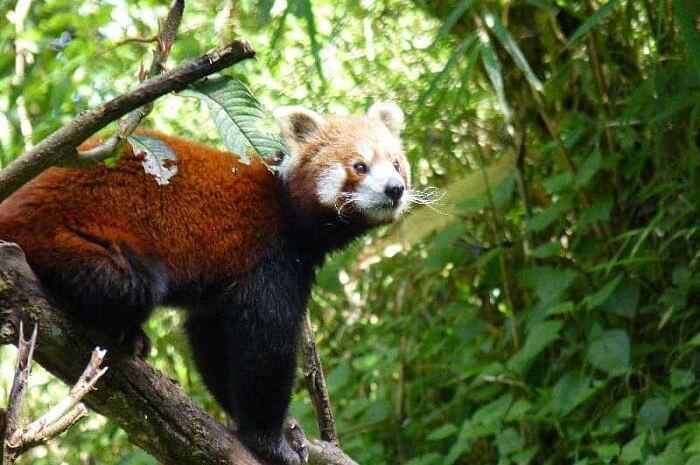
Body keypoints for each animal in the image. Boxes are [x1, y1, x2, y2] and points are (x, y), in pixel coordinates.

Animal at [0, 102, 410, 464]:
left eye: (396, 164)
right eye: (359, 166)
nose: (395, 189)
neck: (287, 207)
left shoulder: (223, 290)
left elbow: (211, 341)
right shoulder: (269, 258)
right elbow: (264, 348)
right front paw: (272, 441)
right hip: (67, 236)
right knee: (129, 284)